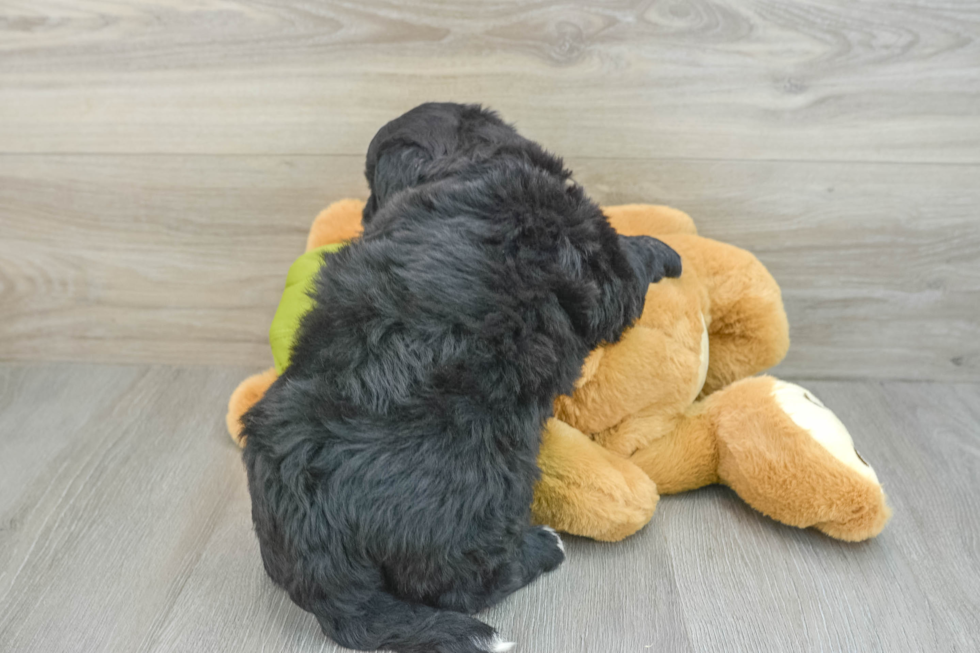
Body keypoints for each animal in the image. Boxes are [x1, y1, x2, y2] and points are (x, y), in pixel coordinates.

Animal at [243, 104, 680, 648]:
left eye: (372, 188)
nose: (364, 217)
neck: (467, 164)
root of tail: (323, 568)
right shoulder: (598, 264)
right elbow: (628, 258)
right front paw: (665, 251)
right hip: (487, 496)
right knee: (466, 585)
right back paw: (544, 547)